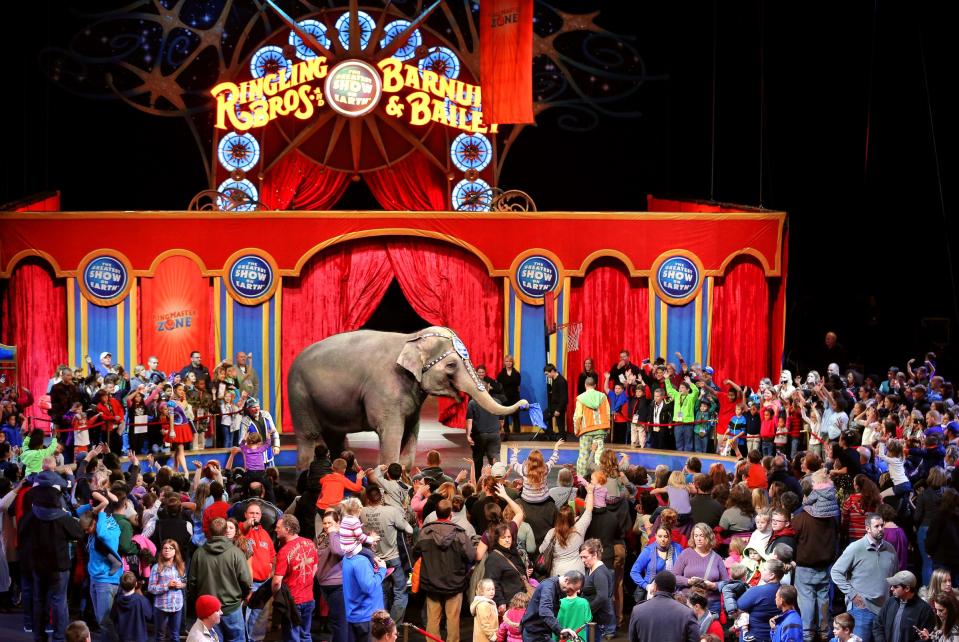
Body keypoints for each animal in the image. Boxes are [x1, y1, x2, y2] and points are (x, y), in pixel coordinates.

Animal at [284, 328, 528, 468]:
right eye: (451, 365)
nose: (525, 403)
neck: (411, 338)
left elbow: (411, 432)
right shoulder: (386, 389)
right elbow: (391, 432)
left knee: (335, 439)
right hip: (299, 395)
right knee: (310, 438)